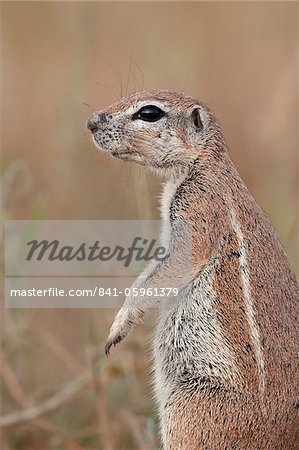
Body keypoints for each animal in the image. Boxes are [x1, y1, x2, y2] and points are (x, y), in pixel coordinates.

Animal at [87, 90, 299, 450]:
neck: (205, 164)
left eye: (149, 113)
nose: (91, 122)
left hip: (190, 409)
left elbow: (173, 266)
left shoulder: (199, 210)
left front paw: (119, 325)